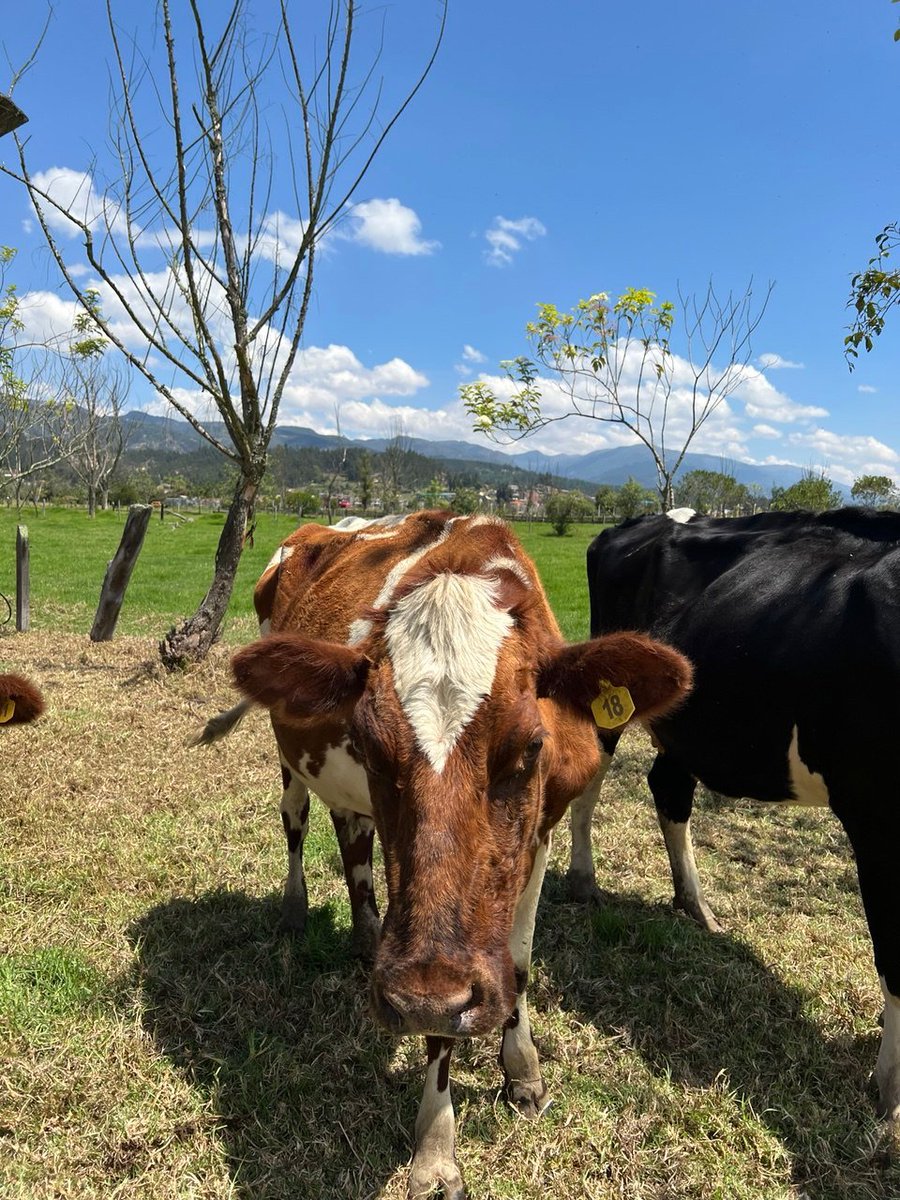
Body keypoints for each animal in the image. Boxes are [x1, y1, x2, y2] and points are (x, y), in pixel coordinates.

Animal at [196, 510, 691, 1198]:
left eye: (530, 746)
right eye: (370, 745)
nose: (415, 992)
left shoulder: (539, 834)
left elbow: (519, 963)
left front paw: (523, 1071)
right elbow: (437, 1031)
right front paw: (435, 1150)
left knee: (353, 841)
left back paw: (366, 935)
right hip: (289, 752)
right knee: (296, 821)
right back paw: (298, 910)